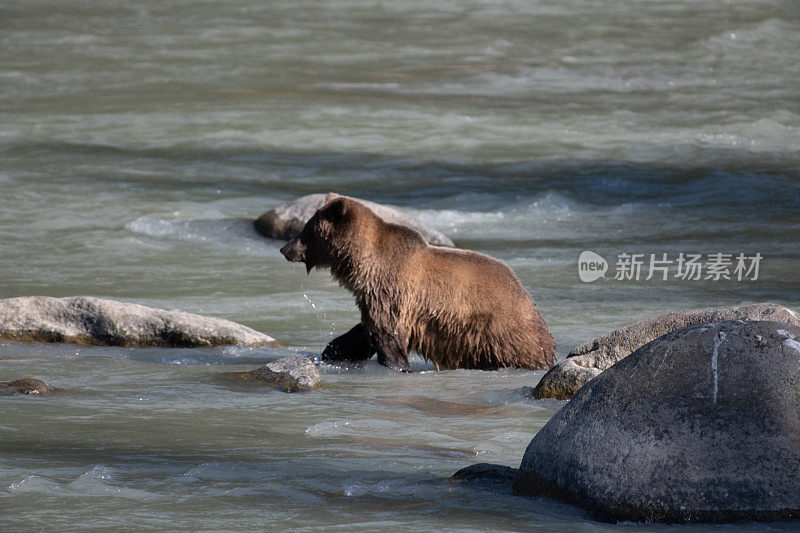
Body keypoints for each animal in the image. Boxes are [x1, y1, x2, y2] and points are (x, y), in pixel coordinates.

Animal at [282, 193, 556, 372]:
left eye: (306, 229)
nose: (285, 249)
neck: (362, 264)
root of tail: (527, 296)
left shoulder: (391, 289)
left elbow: (386, 333)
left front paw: (397, 364)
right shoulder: (376, 295)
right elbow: (365, 331)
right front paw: (334, 350)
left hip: (500, 330)